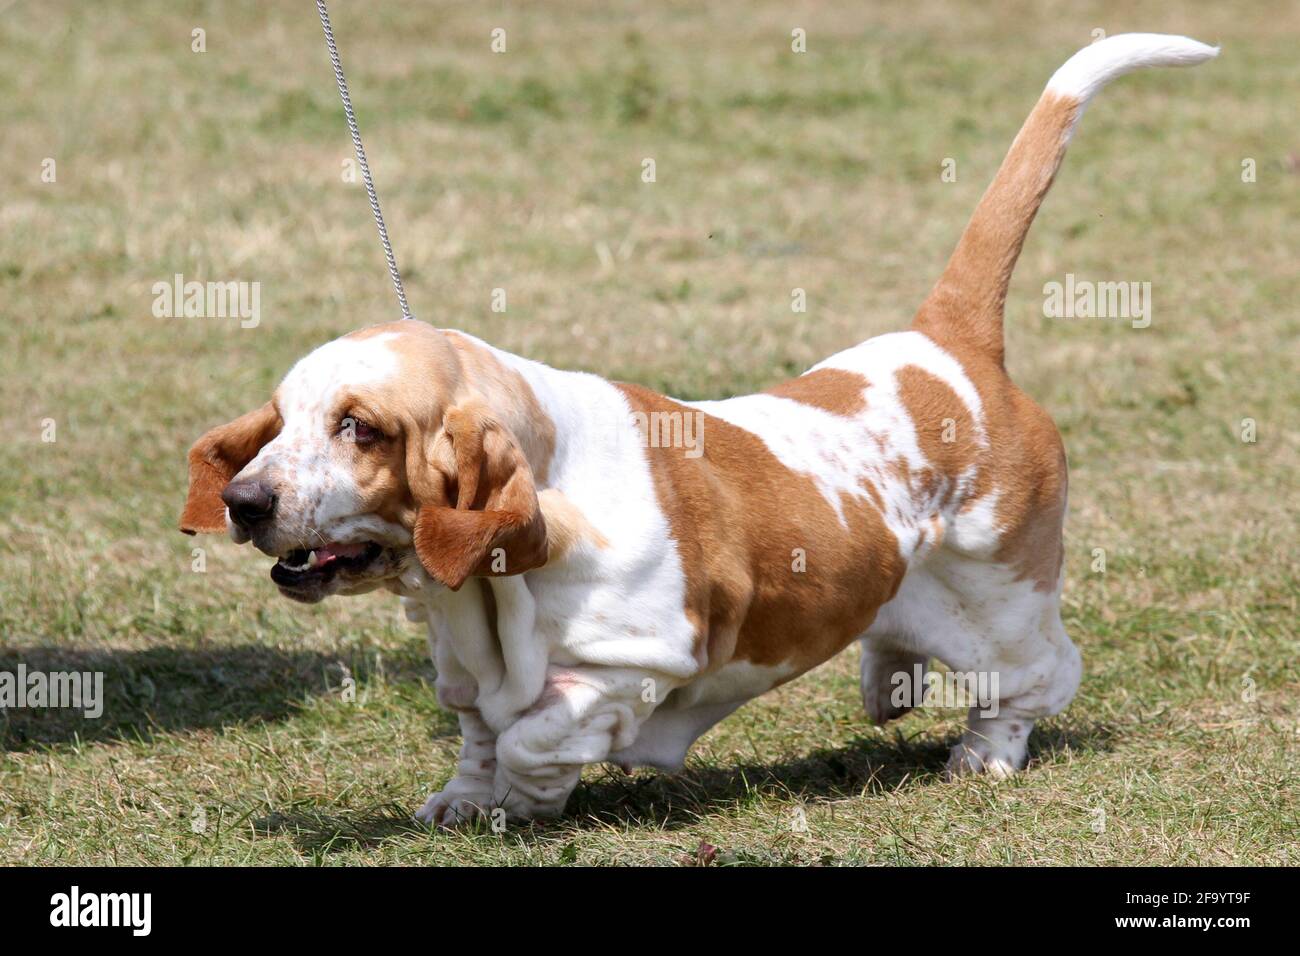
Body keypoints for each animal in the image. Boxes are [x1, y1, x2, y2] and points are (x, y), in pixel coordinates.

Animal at [180, 29, 1216, 822]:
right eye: (281, 421)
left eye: (359, 426)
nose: (245, 502)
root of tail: (949, 343)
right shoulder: (466, 670)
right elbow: (479, 736)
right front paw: (466, 806)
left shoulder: (640, 659)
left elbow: (538, 732)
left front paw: (532, 791)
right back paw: (887, 687)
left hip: (1001, 595)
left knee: (1036, 676)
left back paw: (985, 755)